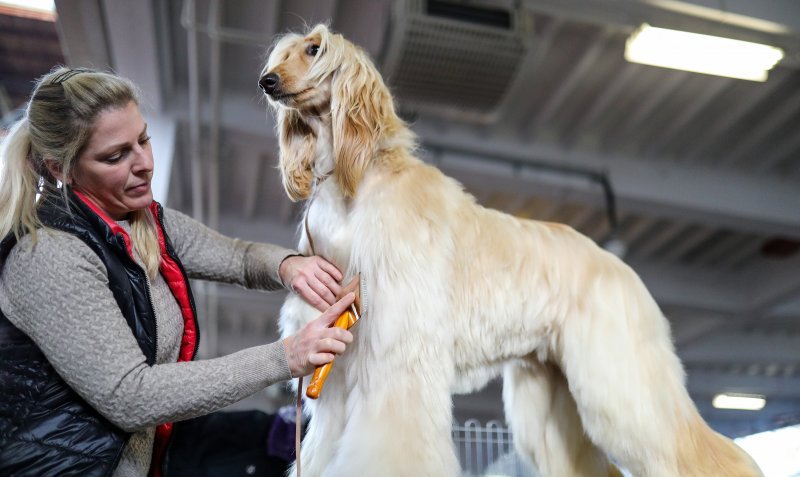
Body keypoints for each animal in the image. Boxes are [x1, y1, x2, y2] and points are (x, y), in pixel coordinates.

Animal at [260, 25, 764, 476]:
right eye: (282, 54)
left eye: (313, 49)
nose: (267, 81)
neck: (354, 189)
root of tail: (620, 265)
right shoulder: (337, 365)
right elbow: (323, 448)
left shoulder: (397, 354)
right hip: (550, 395)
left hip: (621, 380)